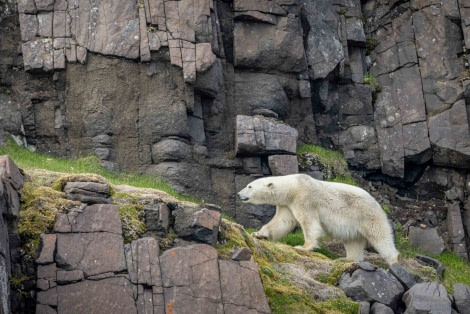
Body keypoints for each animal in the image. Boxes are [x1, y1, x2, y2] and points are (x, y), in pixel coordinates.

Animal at [237, 174, 398, 264]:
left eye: (249, 186)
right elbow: (282, 222)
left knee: (380, 237)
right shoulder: (287, 204)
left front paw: (303, 247)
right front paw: (259, 234)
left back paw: (393, 262)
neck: (293, 187)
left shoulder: (305, 197)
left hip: (366, 214)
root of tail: (377, 203)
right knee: (353, 241)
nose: (239, 194)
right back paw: (347, 259)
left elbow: (309, 222)